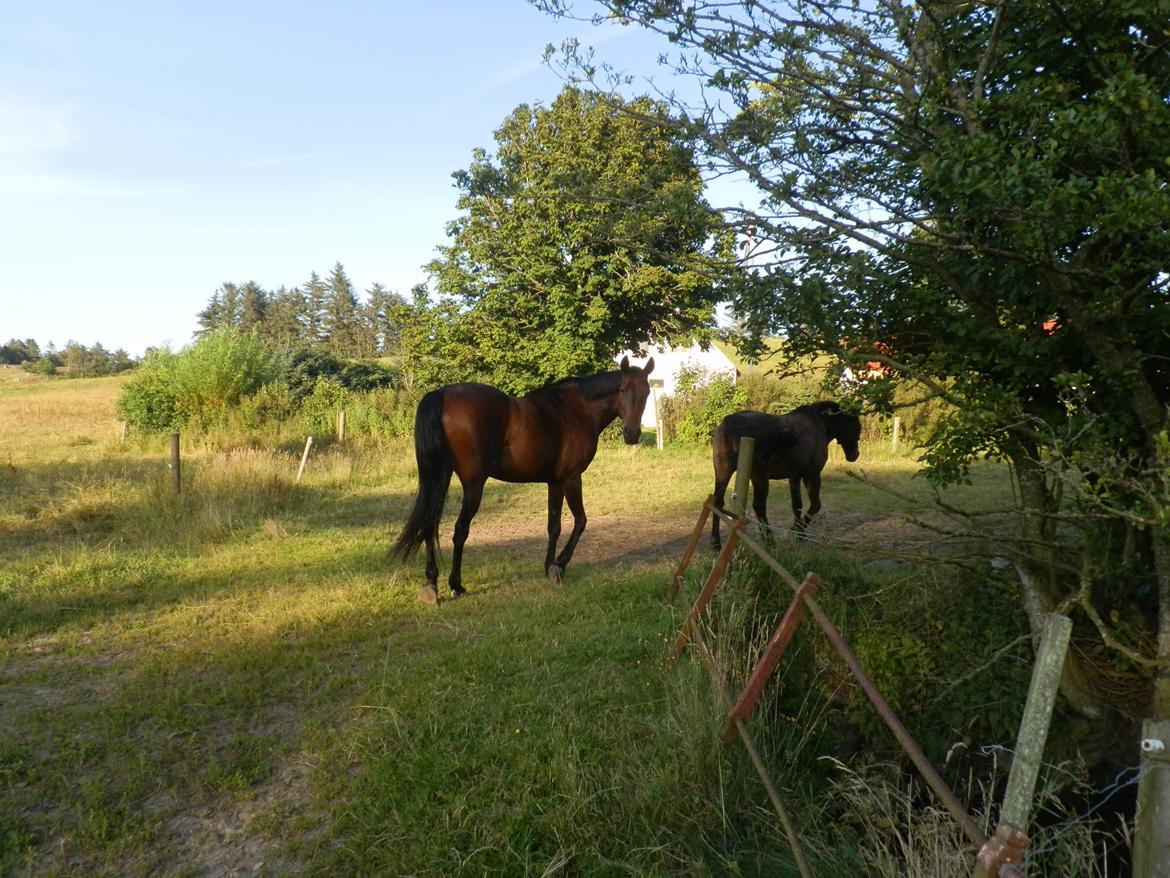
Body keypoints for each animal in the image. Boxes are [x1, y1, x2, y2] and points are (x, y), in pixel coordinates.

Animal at [390, 358, 655, 604]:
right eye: (623, 389)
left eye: (647, 392)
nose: (632, 434)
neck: (574, 411)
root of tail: (441, 394)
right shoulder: (571, 478)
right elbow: (580, 521)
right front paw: (560, 564)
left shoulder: (555, 482)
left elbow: (554, 526)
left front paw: (549, 567)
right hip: (473, 485)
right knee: (459, 530)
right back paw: (456, 584)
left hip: (440, 478)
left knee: (430, 523)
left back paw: (431, 582)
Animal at [706, 402, 865, 547]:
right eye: (857, 426)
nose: (855, 455)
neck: (819, 424)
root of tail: (728, 422)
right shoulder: (812, 474)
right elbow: (815, 505)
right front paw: (799, 533)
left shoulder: (795, 476)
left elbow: (797, 505)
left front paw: (797, 530)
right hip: (759, 476)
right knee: (759, 506)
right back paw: (769, 539)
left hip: (723, 472)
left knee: (718, 502)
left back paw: (716, 542)